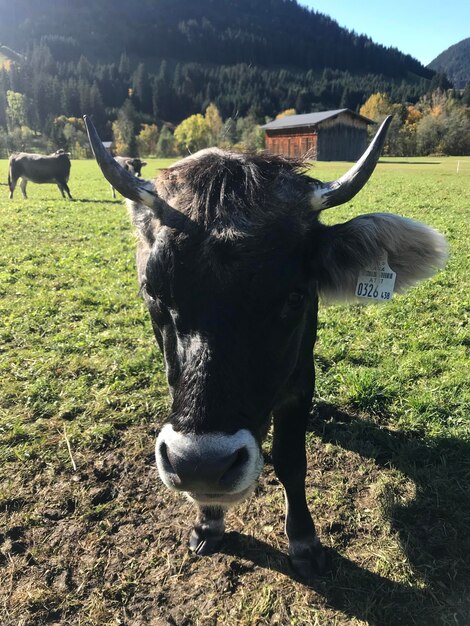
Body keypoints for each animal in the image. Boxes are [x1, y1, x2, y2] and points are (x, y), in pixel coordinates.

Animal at [84, 114, 448, 576]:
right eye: (153, 292)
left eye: (295, 296)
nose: (202, 465)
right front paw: (208, 523)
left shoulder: (301, 377)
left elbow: (291, 459)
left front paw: (303, 540)